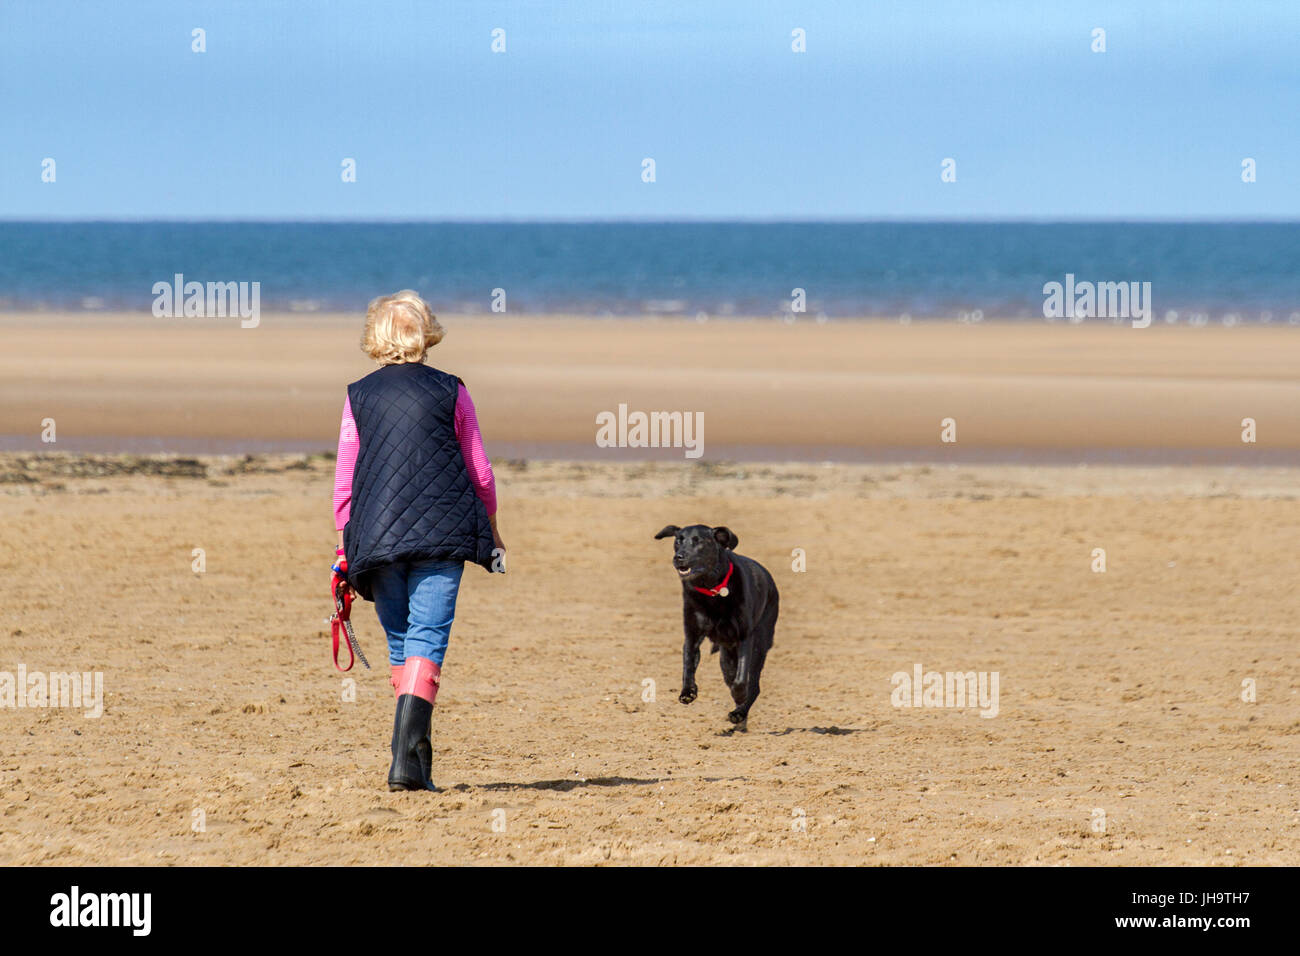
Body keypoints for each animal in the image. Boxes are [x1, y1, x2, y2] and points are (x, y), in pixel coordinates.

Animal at [655, 528, 774, 728]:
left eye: (698, 541)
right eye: (678, 540)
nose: (678, 557)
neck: (711, 590)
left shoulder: (744, 637)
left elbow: (741, 679)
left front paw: (739, 694)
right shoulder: (692, 636)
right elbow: (688, 664)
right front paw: (688, 692)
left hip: (760, 645)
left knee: (753, 684)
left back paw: (739, 712)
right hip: (726, 658)